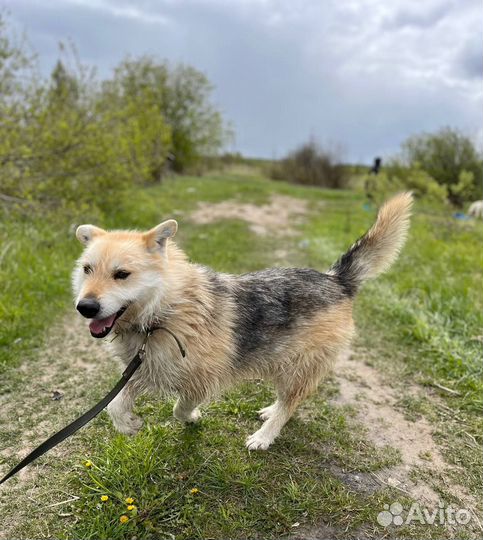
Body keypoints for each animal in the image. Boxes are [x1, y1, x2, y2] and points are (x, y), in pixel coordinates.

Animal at [72, 192, 412, 450]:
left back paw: (264, 436)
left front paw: (192, 418)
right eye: (87, 269)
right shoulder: (143, 369)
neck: (163, 311)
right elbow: (115, 404)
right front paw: (127, 424)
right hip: (283, 361)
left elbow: (181, 407)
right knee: (287, 400)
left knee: (291, 402)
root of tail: (336, 279)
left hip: (299, 365)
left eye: (122, 274)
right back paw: (271, 411)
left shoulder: (201, 378)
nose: (85, 307)